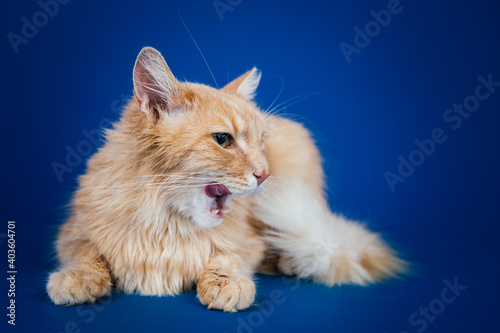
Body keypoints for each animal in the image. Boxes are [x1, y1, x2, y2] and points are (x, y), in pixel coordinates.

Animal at [47, 46, 404, 312]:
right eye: (222, 139)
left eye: (261, 141)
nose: (265, 174)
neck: (164, 223)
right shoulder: (72, 233)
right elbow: (88, 255)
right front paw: (78, 279)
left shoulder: (246, 242)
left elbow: (225, 256)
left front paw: (225, 283)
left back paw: (291, 261)